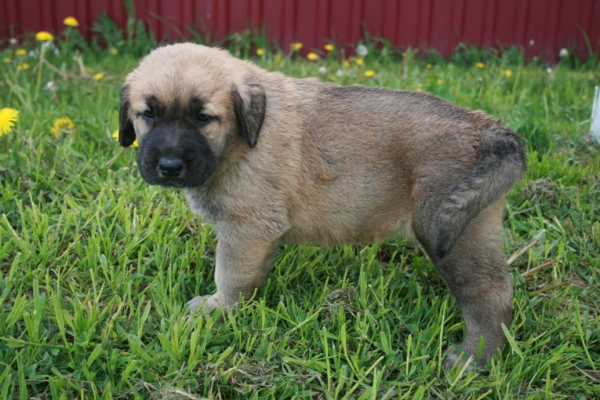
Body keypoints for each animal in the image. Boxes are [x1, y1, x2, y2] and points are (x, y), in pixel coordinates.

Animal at [118, 42, 524, 368]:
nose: (170, 166)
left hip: (452, 230)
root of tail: (486, 127)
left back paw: (475, 357)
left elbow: (230, 275)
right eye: (148, 115)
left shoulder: (246, 228)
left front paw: (219, 308)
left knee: (489, 294)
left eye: (203, 118)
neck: (239, 138)